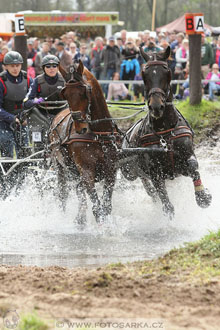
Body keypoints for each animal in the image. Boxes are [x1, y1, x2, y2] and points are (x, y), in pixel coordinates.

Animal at [49, 60, 119, 226]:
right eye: (65, 94)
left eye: (84, 92)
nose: (81, 127)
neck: (99, 135)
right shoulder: (86, 172)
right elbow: (97, 206)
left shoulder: (111, 170)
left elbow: (107, 205)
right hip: (60, 166)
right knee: (63, 193)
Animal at [120, 45, 211, 217]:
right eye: (144, 74)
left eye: (167, 72)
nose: (156, 106)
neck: (164, 132)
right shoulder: (155, 171)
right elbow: (165, 199)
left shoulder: (184, 158)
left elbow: (193, 165)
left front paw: (202, 196)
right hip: (131, 171)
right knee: (147, 186)